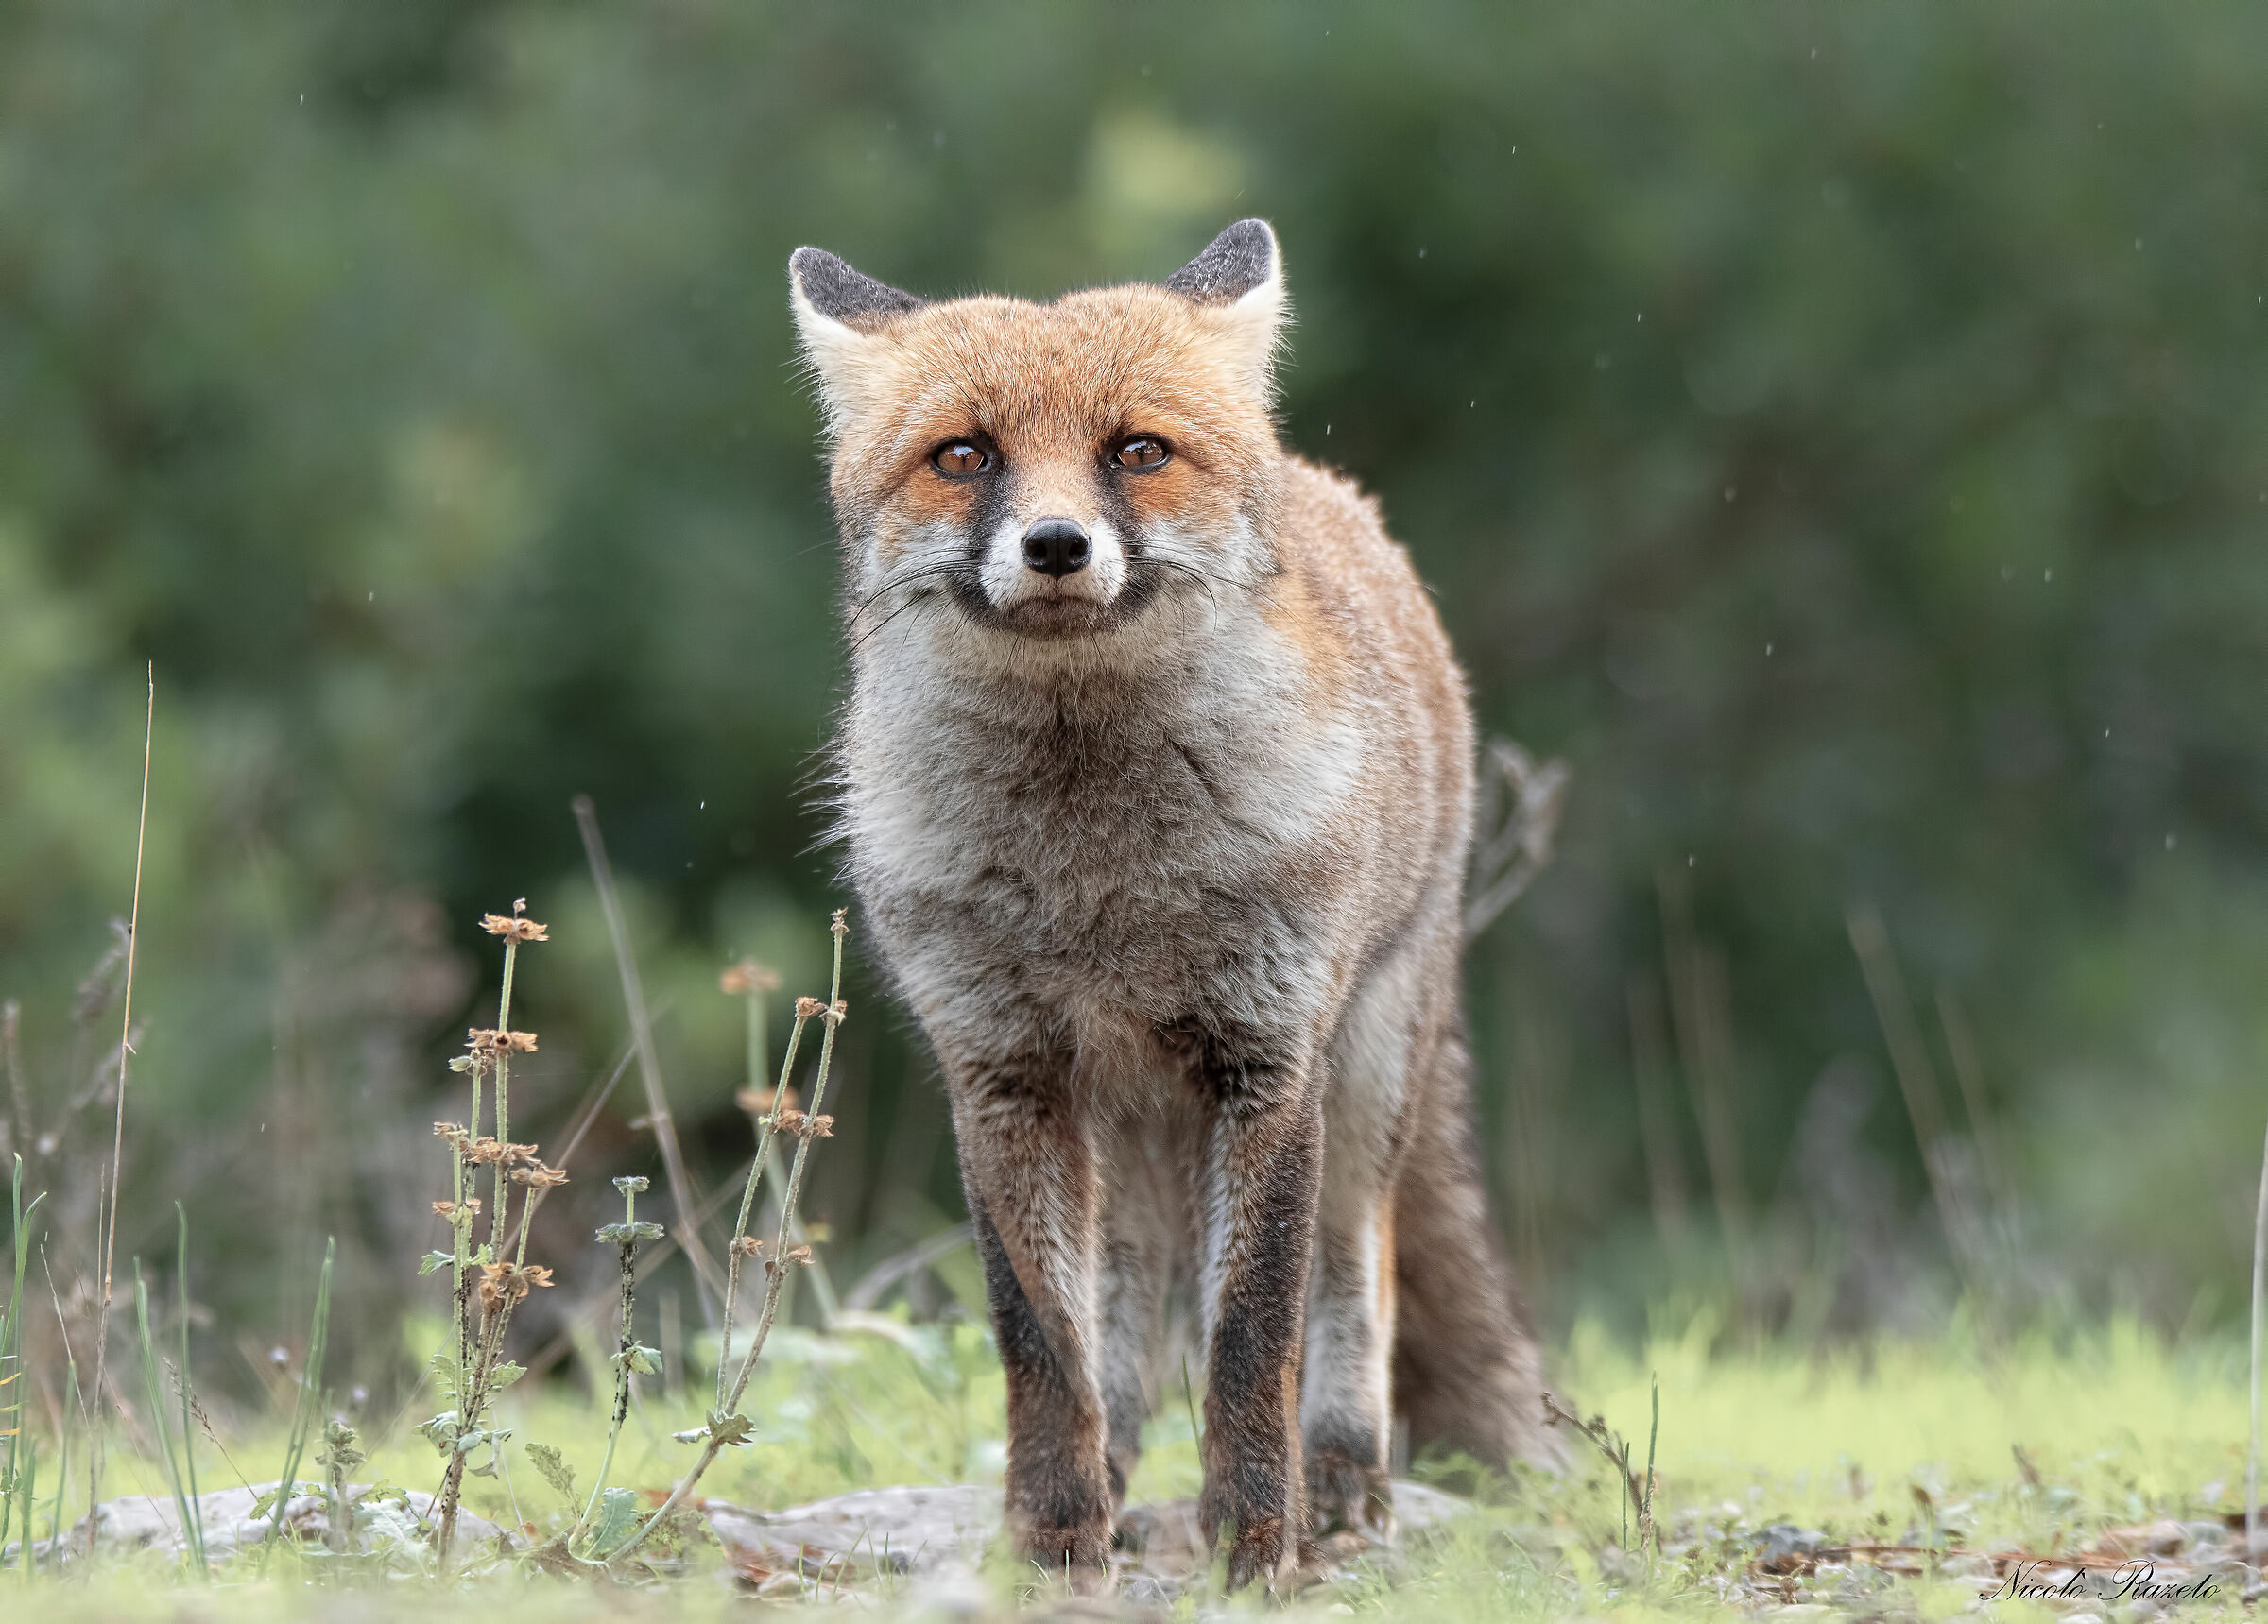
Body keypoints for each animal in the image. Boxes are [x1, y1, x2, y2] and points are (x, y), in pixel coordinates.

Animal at [788, 220, 1557, 1590]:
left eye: (1136, 451)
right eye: (965, 455)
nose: (1054, 544)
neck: (1101, 885)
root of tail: (1326, 484)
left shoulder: (1267, 1058)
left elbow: (1253, 1332)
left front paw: (1255, 1544)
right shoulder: (1004, 1069)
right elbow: (1043, 1343)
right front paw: (1053, 1539)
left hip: (1366, 1076)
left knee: (1358, 1279)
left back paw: (1343, 1485)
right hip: (1131, 1127)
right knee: (1126, 1326)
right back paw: (1123, 1480)